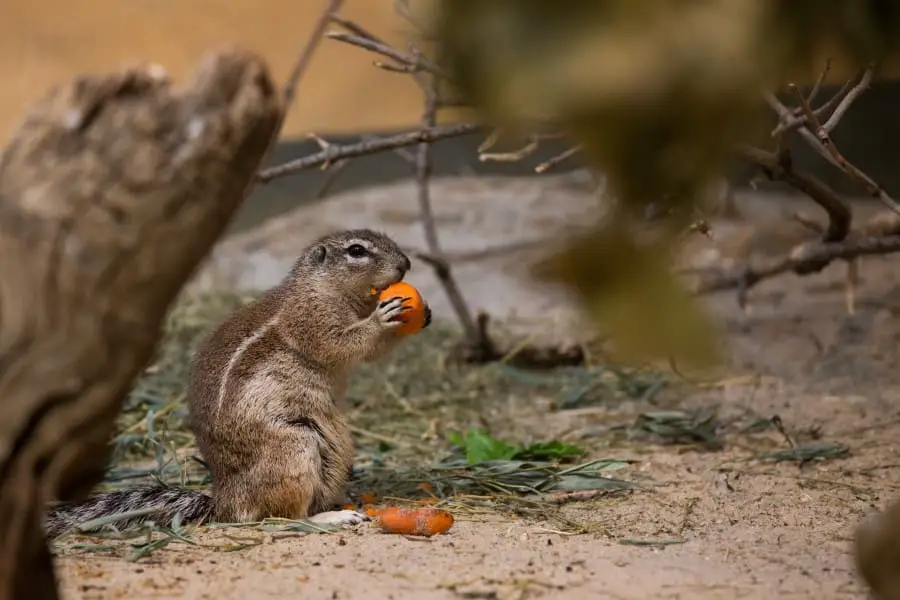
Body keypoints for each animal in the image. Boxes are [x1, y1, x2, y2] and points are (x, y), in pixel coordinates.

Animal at [44, 229, 430, 536]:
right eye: (357, 250)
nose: (406, 263)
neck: (319, 287)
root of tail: (225, 501)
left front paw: (422, 315)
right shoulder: (311, 320)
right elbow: (343, 344)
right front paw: (382, 318)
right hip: (294, 449)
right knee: (281, 515)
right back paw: (332, 518)